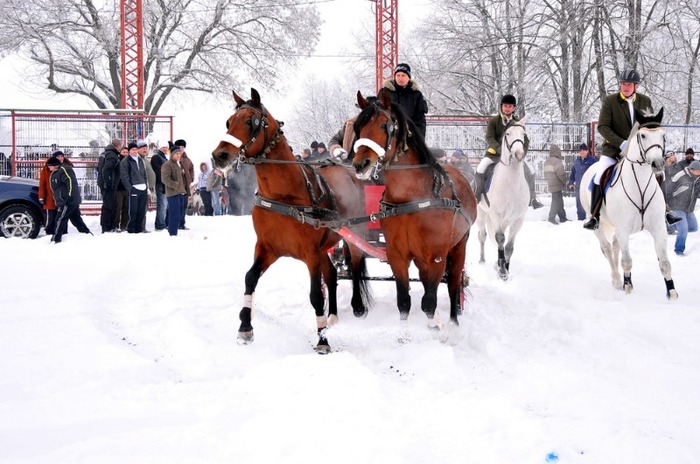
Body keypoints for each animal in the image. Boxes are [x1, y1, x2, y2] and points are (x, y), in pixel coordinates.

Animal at [209, 89, 370, 354]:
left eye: (251, 122)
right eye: (228, 122)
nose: (219, 156)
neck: (284, 195)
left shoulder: (309, 252)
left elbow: (315, 295)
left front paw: (322, 340)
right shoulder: (267, 247)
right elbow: (250, 278)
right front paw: (245, 327)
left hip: (353, 232)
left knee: (355, 264)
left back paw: (357, 305)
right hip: (325, 244)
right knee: (332, 274)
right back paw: (332, 316)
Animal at [352, 89, 478, 330]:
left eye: (384, 125)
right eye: (357, 126)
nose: (360, 164)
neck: (410, 200)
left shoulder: (437, 256)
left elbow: (429, 302)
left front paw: (438, 329)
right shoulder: (397, 254)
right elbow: (404, 301)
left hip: (459, 245)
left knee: (453, 283)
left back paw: (454, 320)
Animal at [476, 118, 532, 280]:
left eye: (523, 134)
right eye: (508, 133)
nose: (519, 154)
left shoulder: (518, 219)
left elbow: (509, 247)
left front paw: (504, 267)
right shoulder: (496, 215)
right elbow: (500, 239)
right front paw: (501, 271)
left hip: (506, 220)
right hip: (482, 214)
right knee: (482, 236)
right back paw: (482, 260)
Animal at [580, 108, 680, 298]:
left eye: (663, 135)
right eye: (643, 135)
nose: (658, 164)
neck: (639, 185)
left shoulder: (658, 228)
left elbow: (665, 263)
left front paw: (671, 292)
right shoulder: (623, 228)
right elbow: (626, 261)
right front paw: (627, 287)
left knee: (615, 246)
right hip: (599, 224)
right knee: (607, 249)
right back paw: (617, 280)